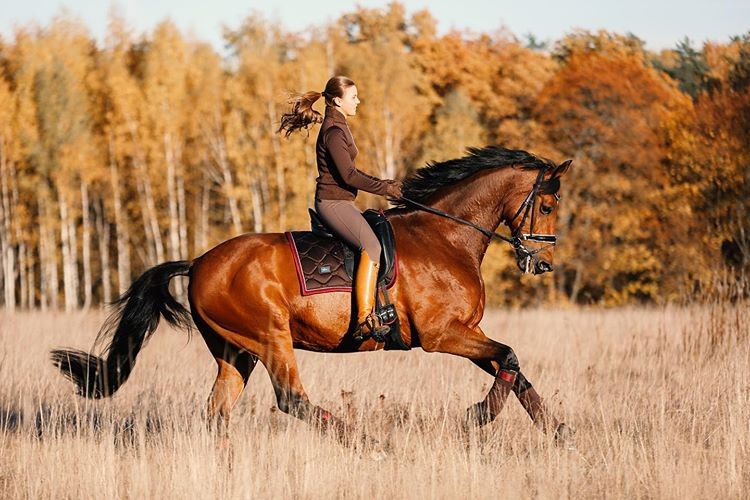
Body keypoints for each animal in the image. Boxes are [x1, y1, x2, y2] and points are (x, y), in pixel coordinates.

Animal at [51, 146, 576, 448]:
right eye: (548, 205)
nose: (543, 263)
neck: (445, 236)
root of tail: (198, 263)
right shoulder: (443, 335)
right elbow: (510, 357)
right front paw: (478, 417)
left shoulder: (468, 331)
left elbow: (513, 368)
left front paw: (560, 432)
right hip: (270, 339)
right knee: (291, 399)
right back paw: (368, 443)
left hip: (235, 351)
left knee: (218, 412)